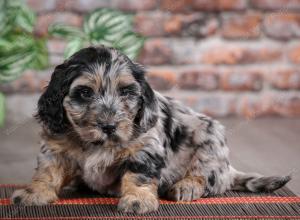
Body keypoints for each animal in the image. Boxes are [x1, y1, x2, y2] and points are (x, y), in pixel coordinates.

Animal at [11, 46, 290, 213]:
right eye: (85, 93)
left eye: (126, 92)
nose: (109, 126)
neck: (94, 143)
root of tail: (228, 169)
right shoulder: (55, 147)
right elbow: (47, 172)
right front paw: (34, 193)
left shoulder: (144, 148)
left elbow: (138, 175)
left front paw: (138, 200)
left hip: (211, 139)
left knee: (207, 177)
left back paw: (186, 186)